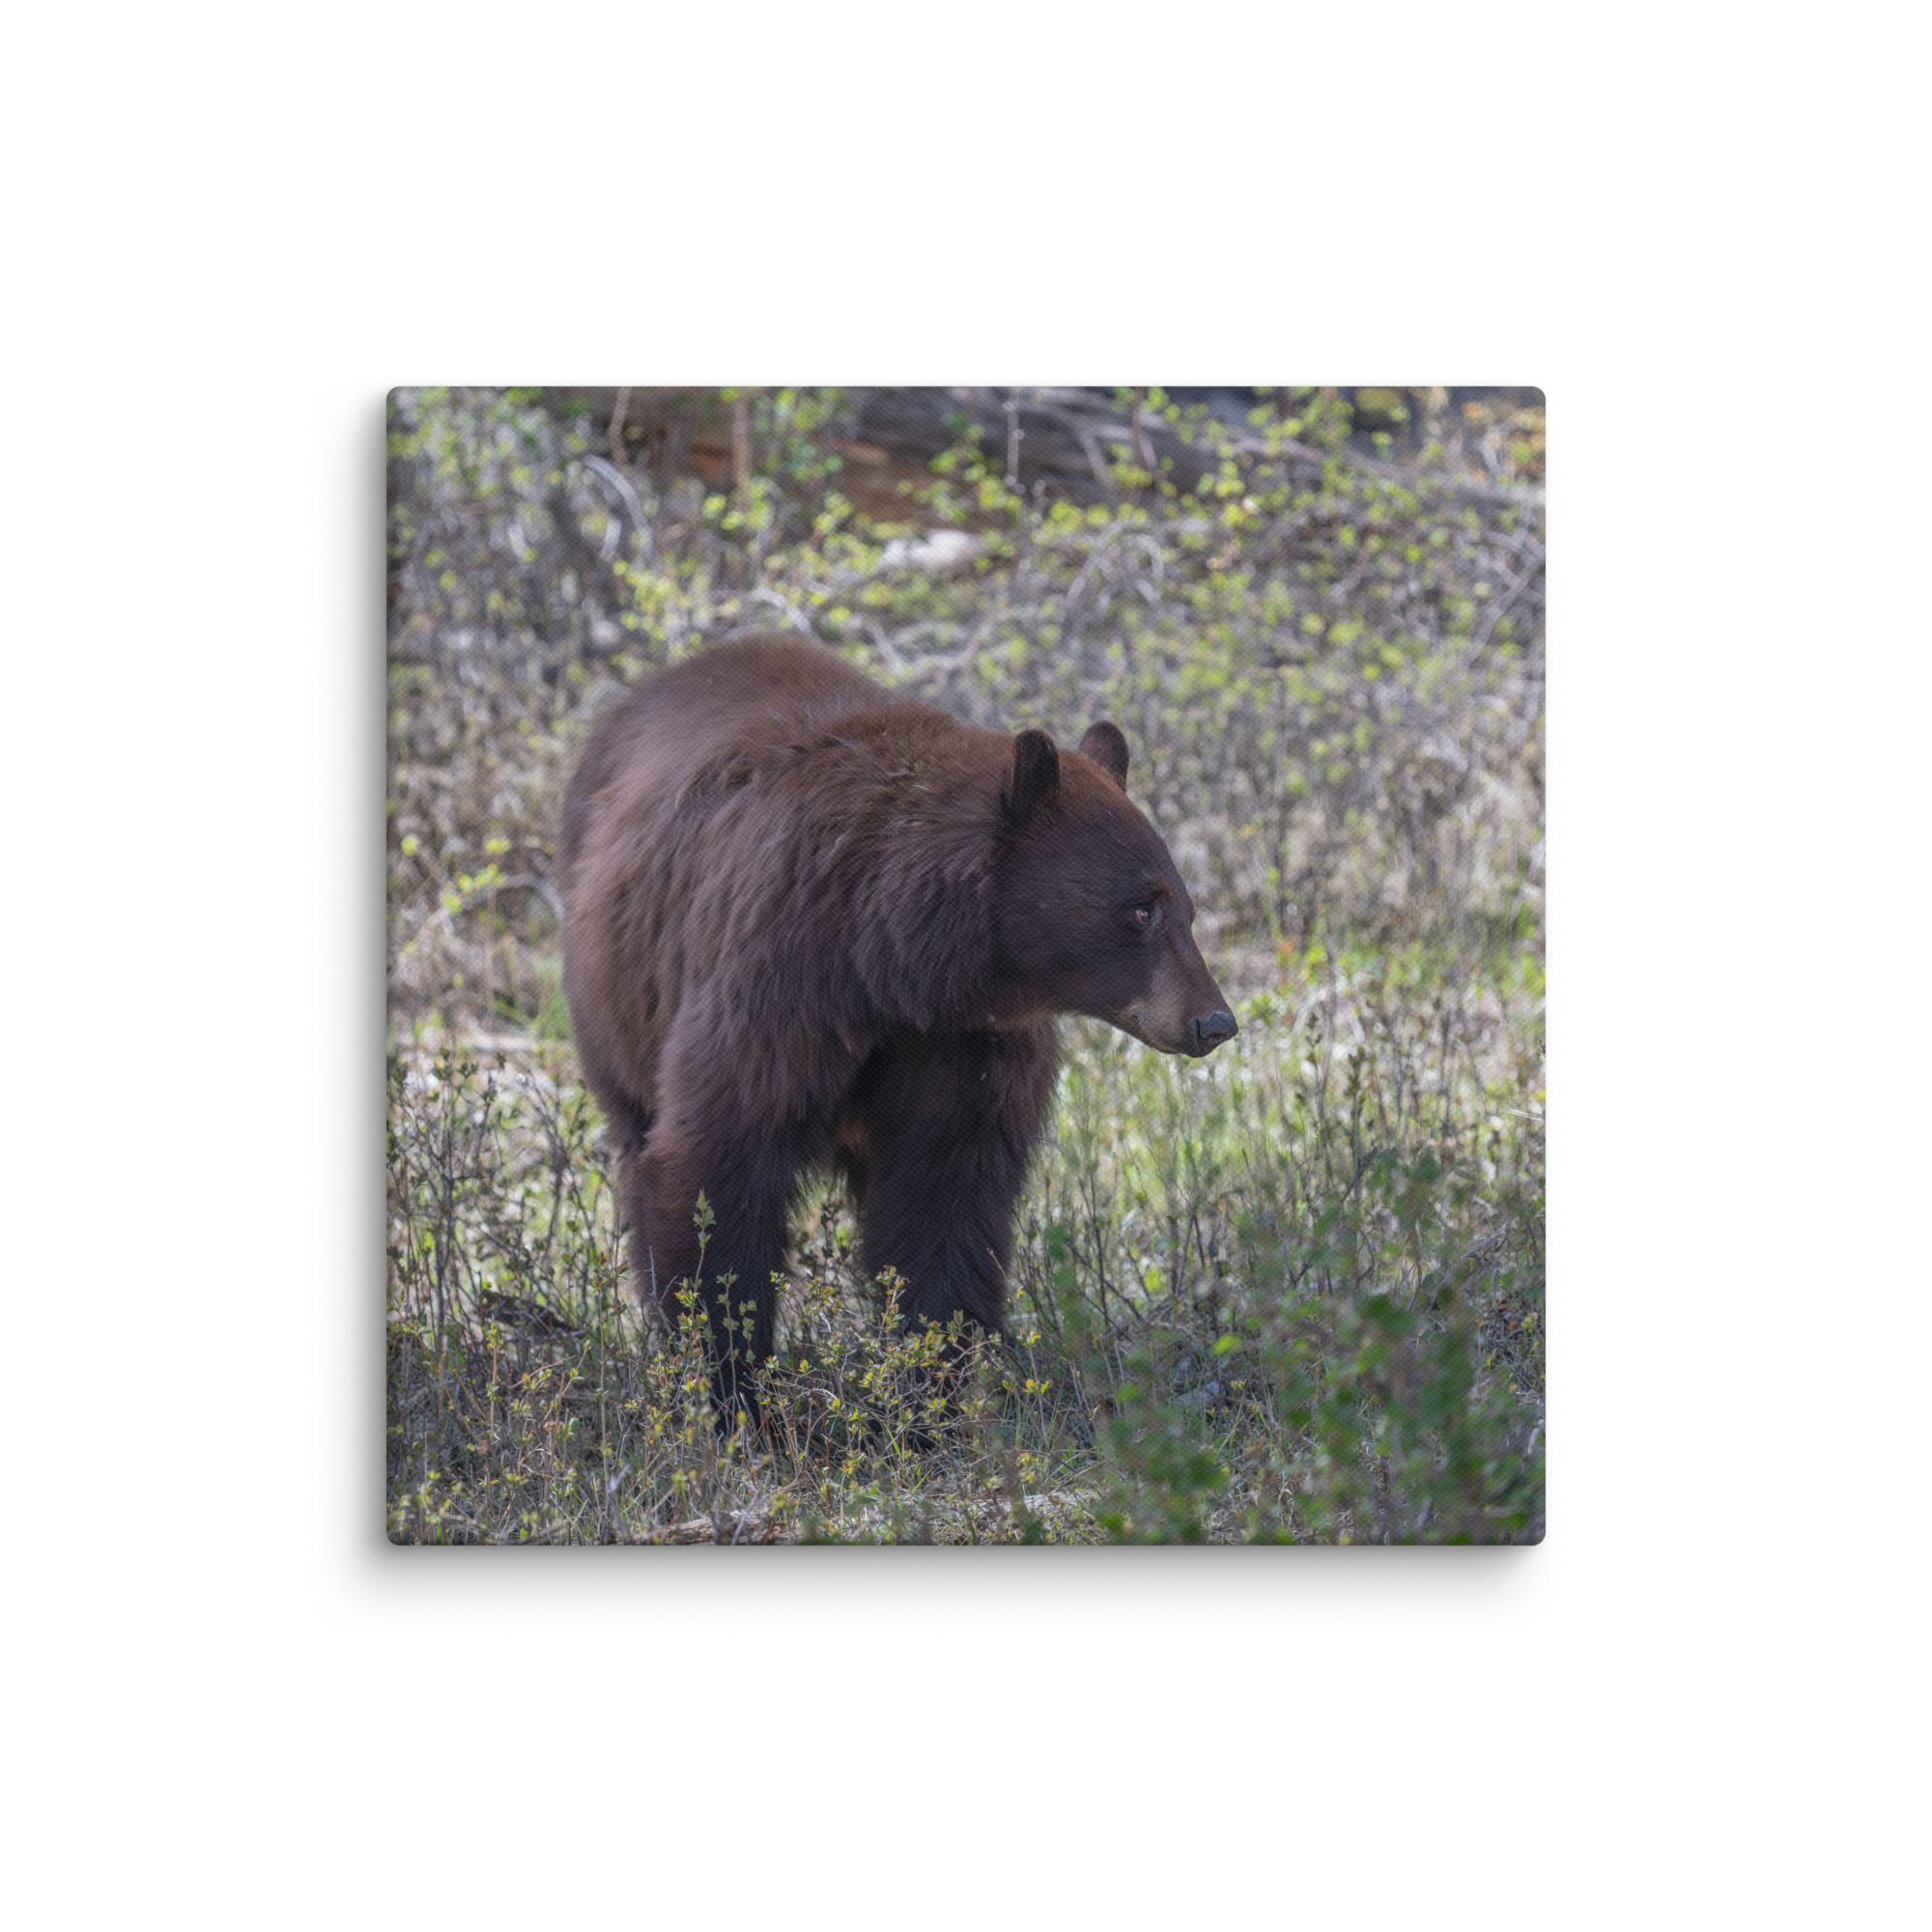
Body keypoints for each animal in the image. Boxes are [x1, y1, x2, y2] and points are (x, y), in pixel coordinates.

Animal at [559, 633, 1237, 1424]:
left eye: (1185, 907)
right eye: (1139, 909)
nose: (1214, 1021)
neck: (892, 963)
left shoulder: (964, 1044)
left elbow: (945, 1195)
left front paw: (925, 1396)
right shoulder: (778, 983)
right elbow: (718, 1162)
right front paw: (732, 1393)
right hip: (615, 1000)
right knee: (638, 1141)